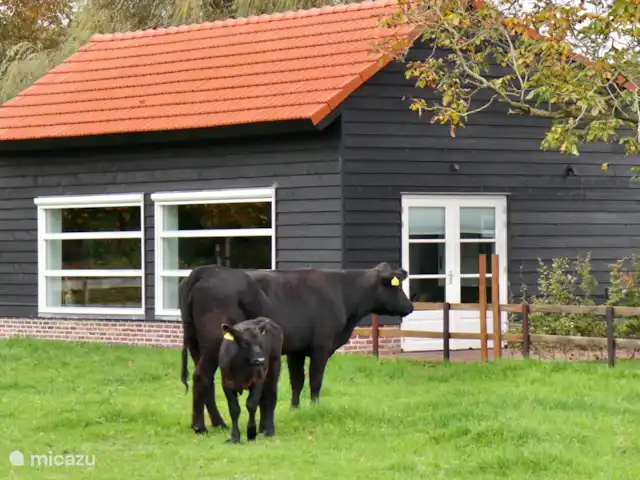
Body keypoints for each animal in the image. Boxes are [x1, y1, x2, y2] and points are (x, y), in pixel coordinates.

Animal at [180, 261, 414, 434]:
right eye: (396, 286)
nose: (410, 306)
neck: (341, 293)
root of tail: (208, 270)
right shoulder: (321, 346)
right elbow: (315, 380)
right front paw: (315, 406)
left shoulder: (296, 350)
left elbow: (297, 380)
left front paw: (295, 409)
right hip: (213, 343)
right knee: (201, 376)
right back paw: (201, 426)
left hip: (197, 346)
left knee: (207, 380)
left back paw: (217, 423)